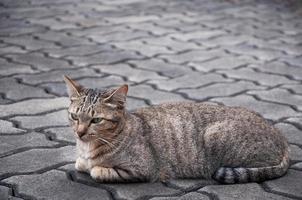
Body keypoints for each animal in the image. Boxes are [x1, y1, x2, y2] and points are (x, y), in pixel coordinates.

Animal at [63, 76, 288, 184]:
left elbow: (96, 170)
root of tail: (282, 138)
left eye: (96, 120)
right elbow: (80, 163)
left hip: (217, 137)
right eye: (74, 117)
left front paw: (94, 166)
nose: (80, 133)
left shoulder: (143, 169)